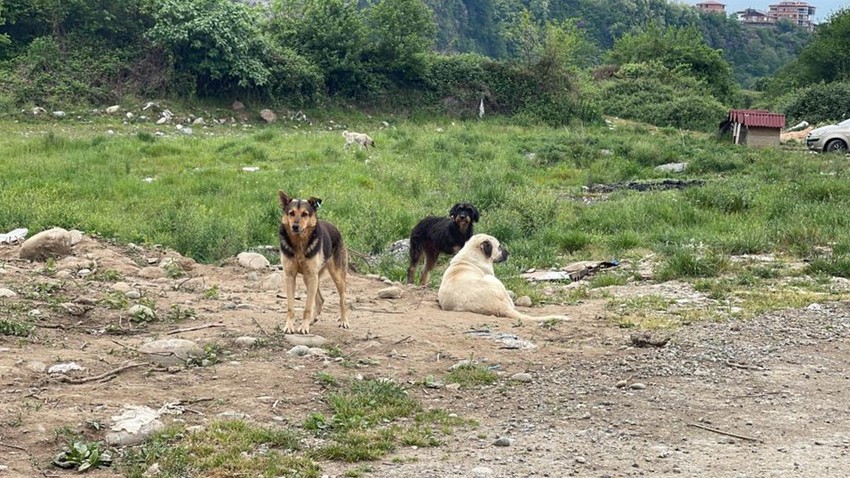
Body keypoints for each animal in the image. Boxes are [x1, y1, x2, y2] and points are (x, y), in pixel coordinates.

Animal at [276, 190, 346, 332]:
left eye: (304, 214)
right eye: (291, 213)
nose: (295, 226)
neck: (299, 242)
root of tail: (335, 227)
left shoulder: (311, 275)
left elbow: (308, 307)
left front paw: (303, 327)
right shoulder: (290, 276)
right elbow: (290, 306)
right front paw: (289, 326)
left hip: (335, 276)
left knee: (343, 299)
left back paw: (344, 321)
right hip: (309, 278)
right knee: (320, 299)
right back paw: (313, 319)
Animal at [438, 234, 568, 324]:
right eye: (499, 247)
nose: (509, 253)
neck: (470, 256)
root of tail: (498, 306)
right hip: (493, 280)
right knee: (510, 302)